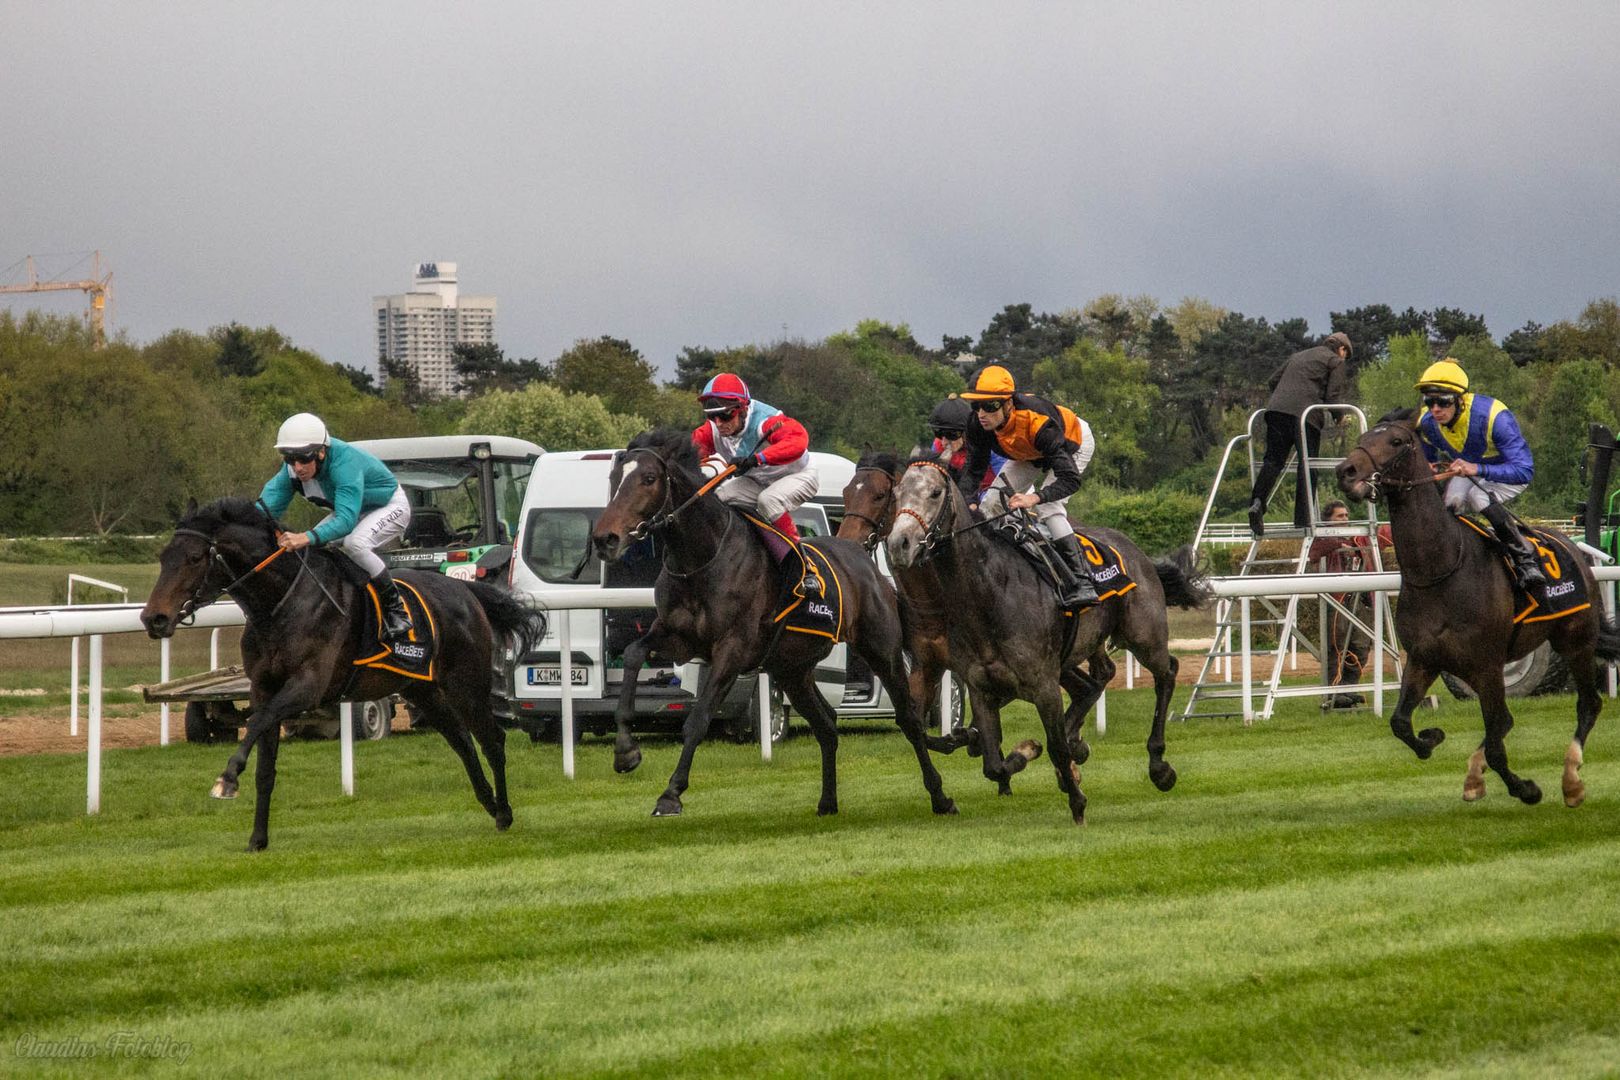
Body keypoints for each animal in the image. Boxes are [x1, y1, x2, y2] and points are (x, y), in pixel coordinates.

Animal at [140, 498, 544, 854]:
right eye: (163, 557)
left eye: (194, 558)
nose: (153, 618)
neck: (279, 605)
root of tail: (465, 588)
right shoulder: (264, 688)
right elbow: (265, 767)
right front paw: (257, 839)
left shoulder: (307, 686)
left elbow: (254, 724)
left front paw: (226, 780)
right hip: (422, 689)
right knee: (462, 741)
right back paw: (489, 802)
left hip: (466, 682)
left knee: (492, 739)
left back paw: (504, 812)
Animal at [589, 427, 952, 816]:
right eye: (614, 478)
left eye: (649, 478)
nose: (605, 538)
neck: (701, 560)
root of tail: (870, 568)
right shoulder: (677, 636)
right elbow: (632, 654)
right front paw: (625, 752)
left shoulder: (732, 649)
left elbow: (698, 720)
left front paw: (671, 793)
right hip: (793, 668)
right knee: (826, 724)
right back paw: (827, 801)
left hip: (880, 650)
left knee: (909, 718)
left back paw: (940, 796)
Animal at [881, 459, 1211, 822]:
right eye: (897, 494)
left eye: (935, 493)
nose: (899, 544)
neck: (989, 593)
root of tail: (1138, 552)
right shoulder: (978, 686)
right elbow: (993, 764)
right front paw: (1028, 751)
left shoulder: (1043, 685)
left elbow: (1053, 746)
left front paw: (1076, 802)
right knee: (1099, 679)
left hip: (1142, 635)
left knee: (1166, 672)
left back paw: (1159, 766)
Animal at [1328, 409, 1620, 806]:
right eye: (1363, 438)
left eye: (1396, 441)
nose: (1347, 471)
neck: (1440, 569)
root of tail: (1575, 548)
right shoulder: (1424, 658)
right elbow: (1400, 723)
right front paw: (1431, 738)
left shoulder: (1487, 664)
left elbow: (1497, 740)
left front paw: (1525, 788)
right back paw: (1476, 775)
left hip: (1575, 640)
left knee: (1587, 704)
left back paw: (1571, 780)